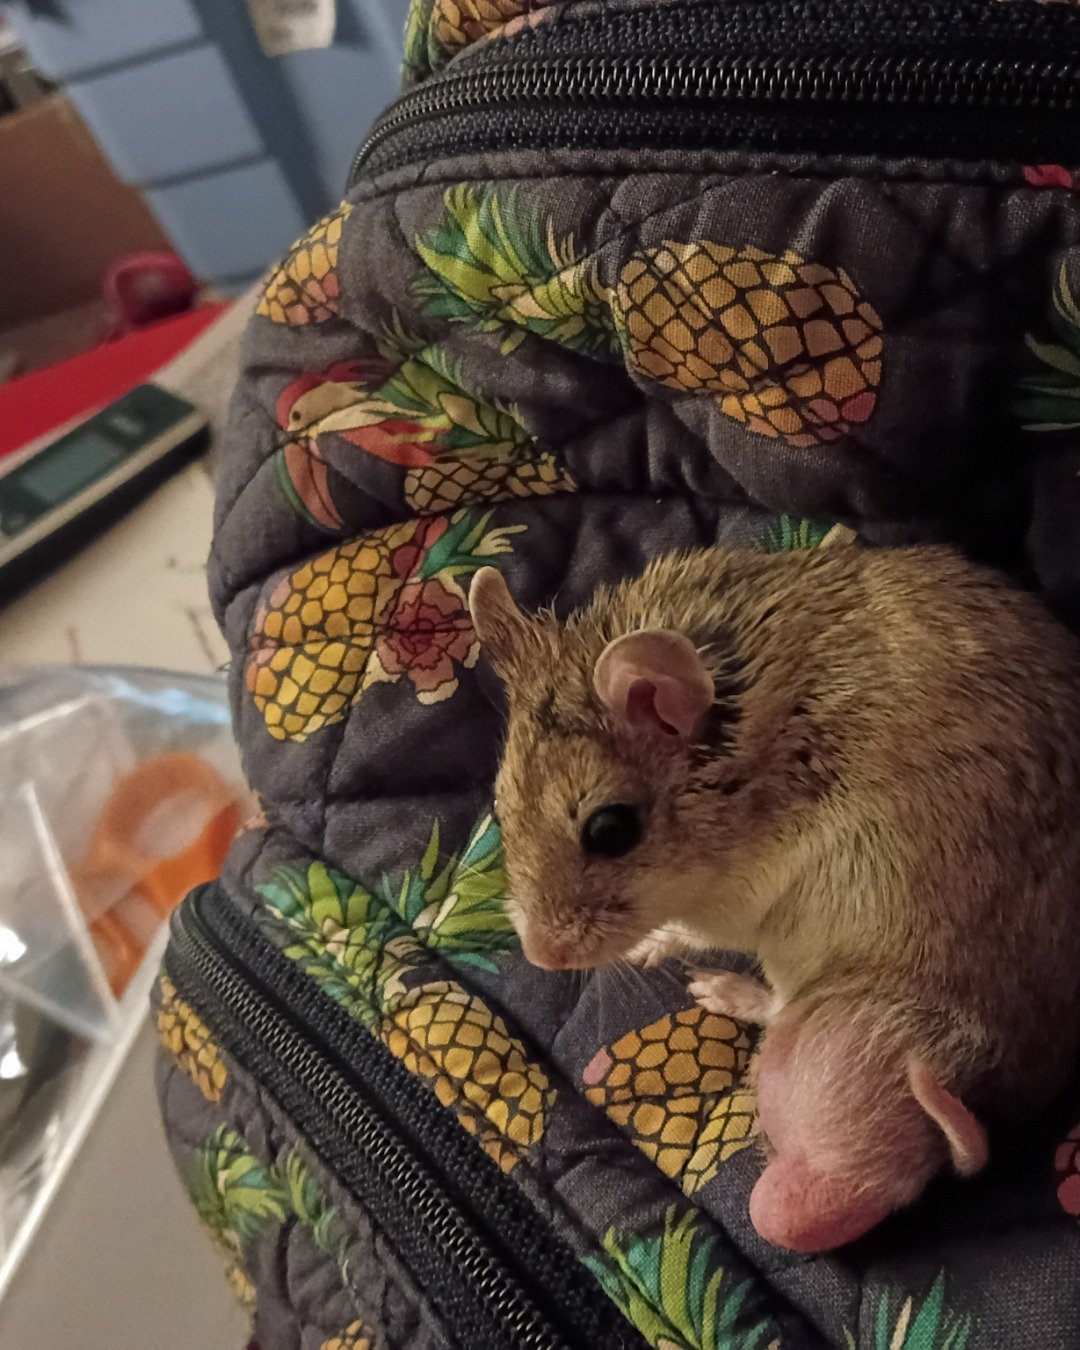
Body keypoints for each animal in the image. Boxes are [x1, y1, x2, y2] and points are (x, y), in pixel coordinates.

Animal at [469, 544, 1080, 1252]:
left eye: (610, 830)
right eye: (500, 805)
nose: (541, 958)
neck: (745, 758)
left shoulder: (740, 903)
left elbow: (689, 931)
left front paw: (655, 948)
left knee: (777, 1007)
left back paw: (721, 992)